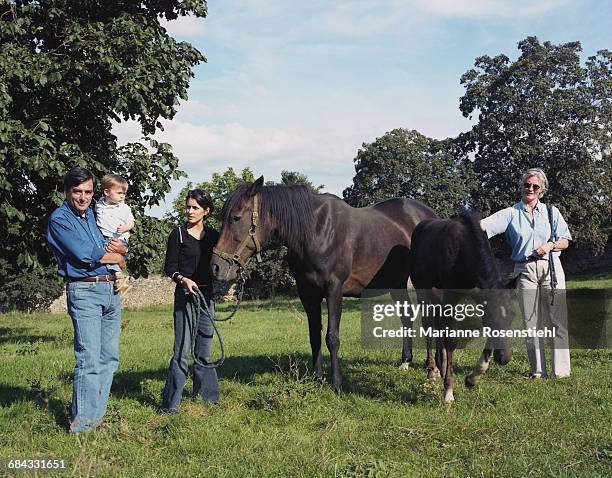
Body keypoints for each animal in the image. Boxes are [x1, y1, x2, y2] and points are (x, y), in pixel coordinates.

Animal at [213, 177, 438, 390]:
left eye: (236, 218)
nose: (216, 267)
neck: (316, 231)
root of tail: (430, 215)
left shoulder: (333, 290)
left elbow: (332, 337)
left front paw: (336, 383)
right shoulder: (307, 293)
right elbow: (314, 336)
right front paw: (317, 378)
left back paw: (432, 370)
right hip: (396, 282)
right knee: (407, 316)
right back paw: (406, 361)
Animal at [408, 211, 512, 402]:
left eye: (511, 318)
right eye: (490, 321)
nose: (504, 358)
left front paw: (472, 378)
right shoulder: (450, 294)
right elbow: (451, 339)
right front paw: (448, 390)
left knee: (438, 325)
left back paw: (440, 368)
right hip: (423, 289)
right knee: (429, 324)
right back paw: (432, 370)